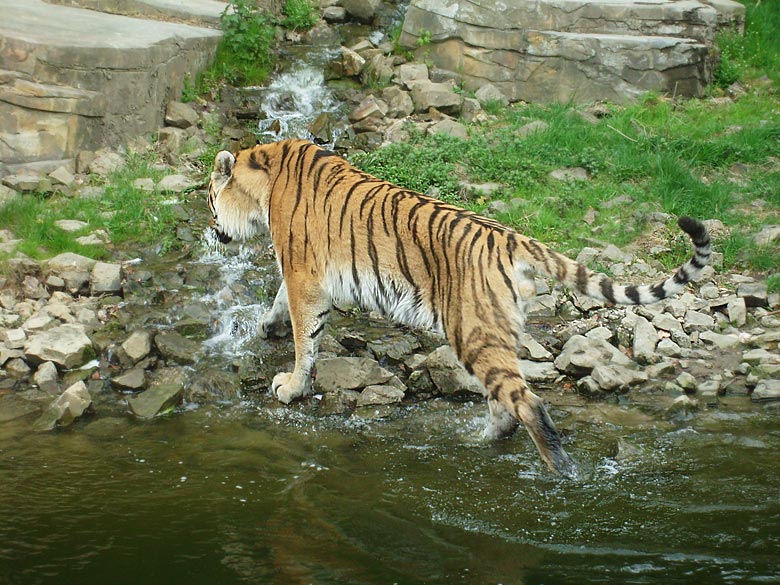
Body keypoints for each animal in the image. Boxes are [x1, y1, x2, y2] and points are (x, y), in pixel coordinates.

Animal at [209, 137, 712, 474]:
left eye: (211, 201)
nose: (213, 232)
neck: (265, 175)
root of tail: (514, 238)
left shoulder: (303, 273)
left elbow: (305, 336)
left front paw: (291, 386)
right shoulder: (299, 274)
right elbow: (282, 307)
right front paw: (268, 328)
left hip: (472, 333)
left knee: (529, 405)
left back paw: (562, 473)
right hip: (491, 336)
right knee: (506, 407)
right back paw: (477, 441)